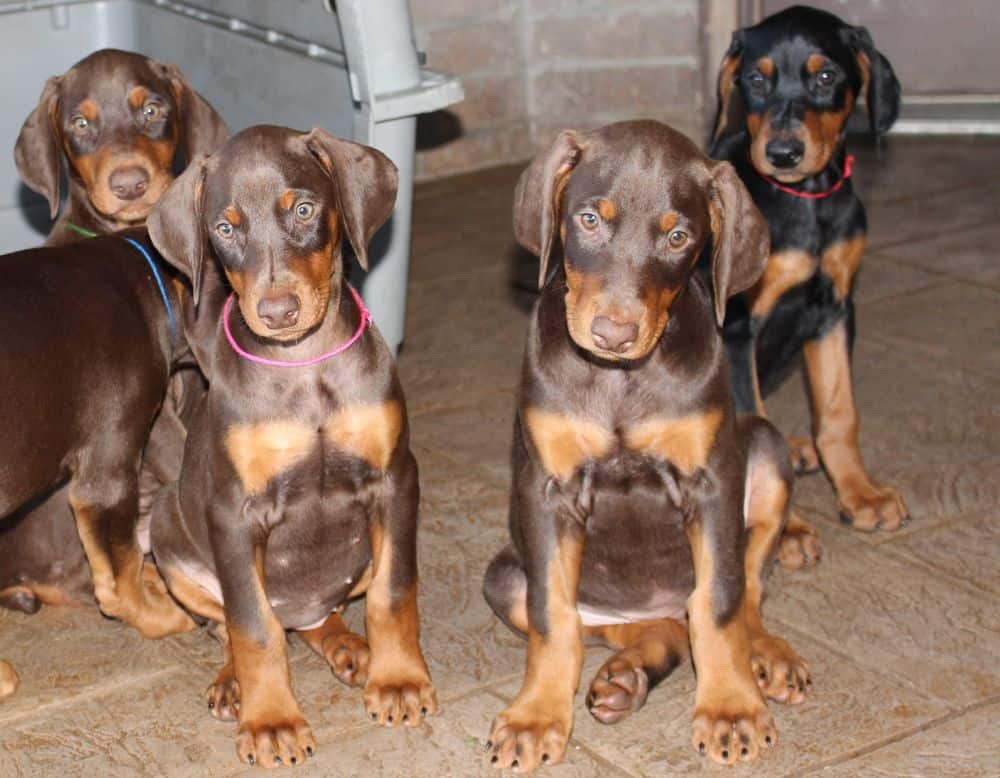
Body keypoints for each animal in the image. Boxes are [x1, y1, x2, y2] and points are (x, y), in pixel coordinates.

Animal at [146, 124, 438, 768]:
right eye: (224, 228)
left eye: (303, 210)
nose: (277, 312)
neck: (305, 369)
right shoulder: (234, 514)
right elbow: (252, 627)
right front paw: (271, 722)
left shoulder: (395, 480)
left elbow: (394, 592)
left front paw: (399, 680)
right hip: (167, 531)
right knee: (238, 622)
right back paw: (234, 683)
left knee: (316, 619)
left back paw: (350, 646)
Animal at [484, 121, 812, 768]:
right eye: (588, 219)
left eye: (679, 236)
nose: (613, 333)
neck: (620, 380)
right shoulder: (547, 488)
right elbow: (553, 617)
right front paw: (537, 716)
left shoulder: (712, 482)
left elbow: (721, 601)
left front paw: (730, 707)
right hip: (506, 576)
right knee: (643, 628)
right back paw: (625, 676)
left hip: (765, 450)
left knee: (740, 593)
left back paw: (765, 654)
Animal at [708, 6, 912, 552]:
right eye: (755, 79)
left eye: (825, 77)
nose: (782, 153)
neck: (804, 200)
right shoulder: (736, 329)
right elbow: (749, 423)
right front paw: (787, 530)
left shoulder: (833, 309)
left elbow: (839, 413)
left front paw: (862, 495)